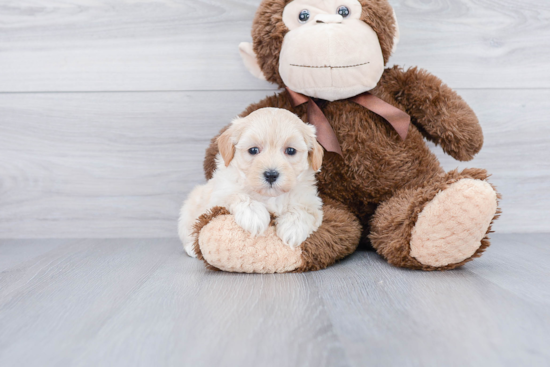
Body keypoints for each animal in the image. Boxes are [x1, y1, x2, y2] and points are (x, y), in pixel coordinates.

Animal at [181, 108, 326, 258]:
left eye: (291, 150)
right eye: (253, 150)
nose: (271, 175)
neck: (270, 197)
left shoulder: (311, 201)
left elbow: (304, 210)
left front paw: (292, 229)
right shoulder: (220, 194)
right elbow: (237, 195)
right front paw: (254, 216)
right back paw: (191, 247)